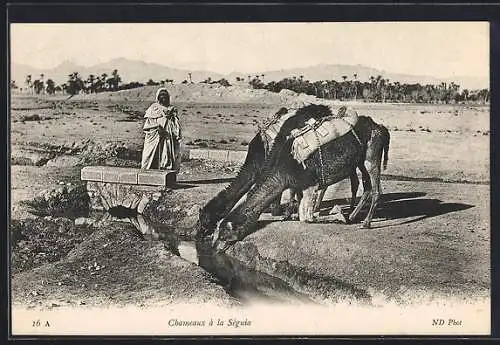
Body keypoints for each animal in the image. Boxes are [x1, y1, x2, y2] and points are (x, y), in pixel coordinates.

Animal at [211, 114, 390, 249]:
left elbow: (307, 217)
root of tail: (380, 127)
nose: (214, 247)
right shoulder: (298, 185)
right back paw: (353, 216)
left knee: (376, 188)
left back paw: (365, 222)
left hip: (372, 154)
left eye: (224, 234)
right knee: (366, 186)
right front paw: (291, 215)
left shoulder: (310, 184)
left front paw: (338, 214)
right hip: (359, 161)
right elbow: (299, 206)